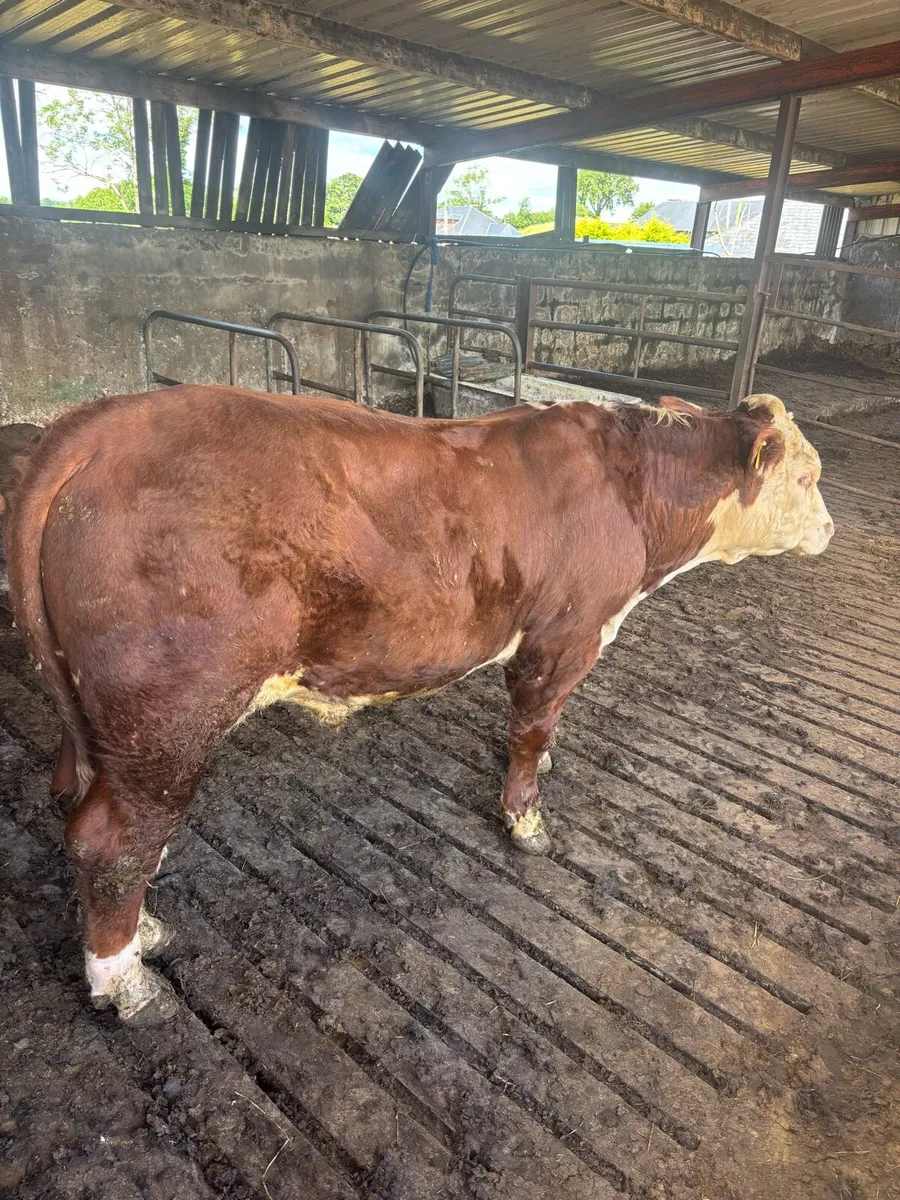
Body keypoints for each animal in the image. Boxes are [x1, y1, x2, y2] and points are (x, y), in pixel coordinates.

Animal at [5, 385, 832, 1021]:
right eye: (806, 478)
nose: (829, 528)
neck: (631, 492)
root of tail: (104, 423)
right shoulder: (562, 636)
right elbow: (531, 730)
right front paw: (526, 819)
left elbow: (539, 731)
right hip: (169, 716)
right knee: (115, 842)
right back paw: (126, 984)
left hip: (113, 728)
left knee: (116, 831)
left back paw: (144, 931)